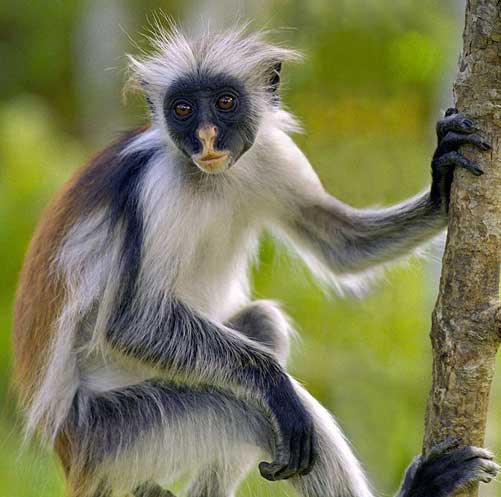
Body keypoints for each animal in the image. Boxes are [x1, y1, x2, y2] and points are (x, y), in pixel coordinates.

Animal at [12, 25, 496, 496]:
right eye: (182, 109)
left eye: (225, 102)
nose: (206, 136)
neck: (212, 178)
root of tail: (68, 454)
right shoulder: (156, 185)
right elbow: (132, 322)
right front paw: (275, 384)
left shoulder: (270, 151)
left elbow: (339, 245)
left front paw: (442, 183)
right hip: (114, 436)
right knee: (252, 411)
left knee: (265, 325)